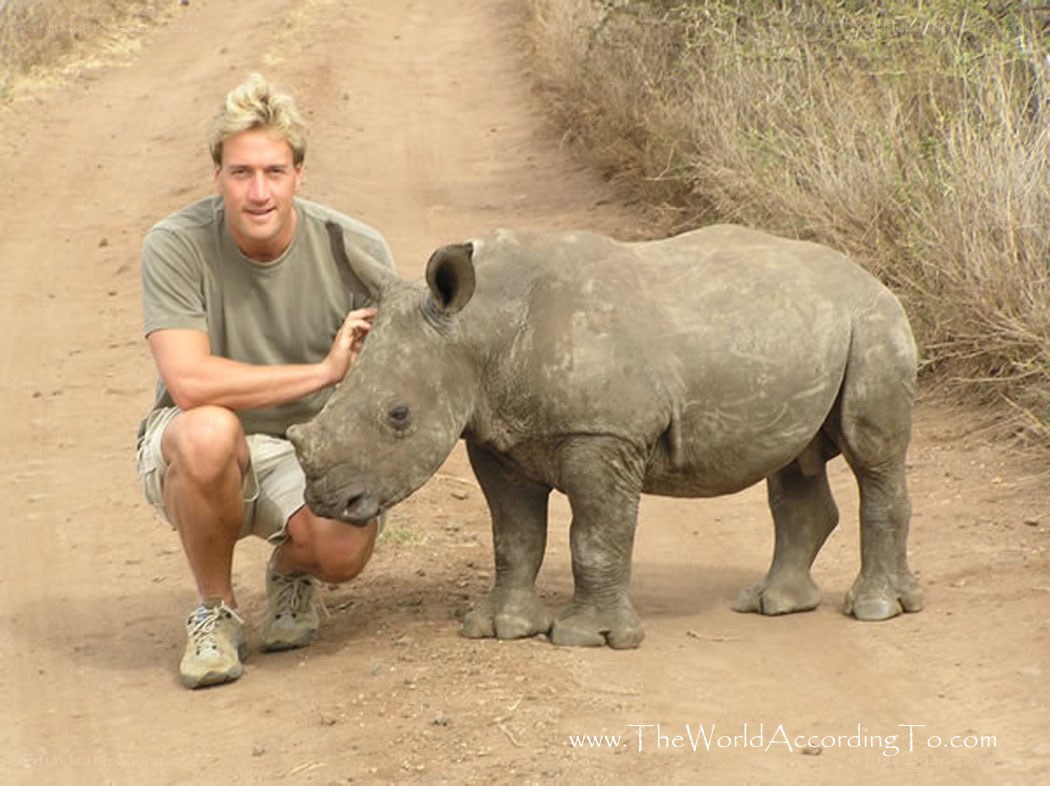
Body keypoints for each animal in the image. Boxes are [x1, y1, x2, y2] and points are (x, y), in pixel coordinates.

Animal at [287, 222, 924, 649]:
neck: (481, 327)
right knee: (795, 463)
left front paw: (585, 637)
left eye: (399, 416)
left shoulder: (603, 434)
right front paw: (500, 628)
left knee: (872, 456)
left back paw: (875, 609)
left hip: (875, 323)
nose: (327, 501)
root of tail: (871, 275)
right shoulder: (494, 436)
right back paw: (773, 604)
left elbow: (595, 536)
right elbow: (513, 536)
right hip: (802, 328)